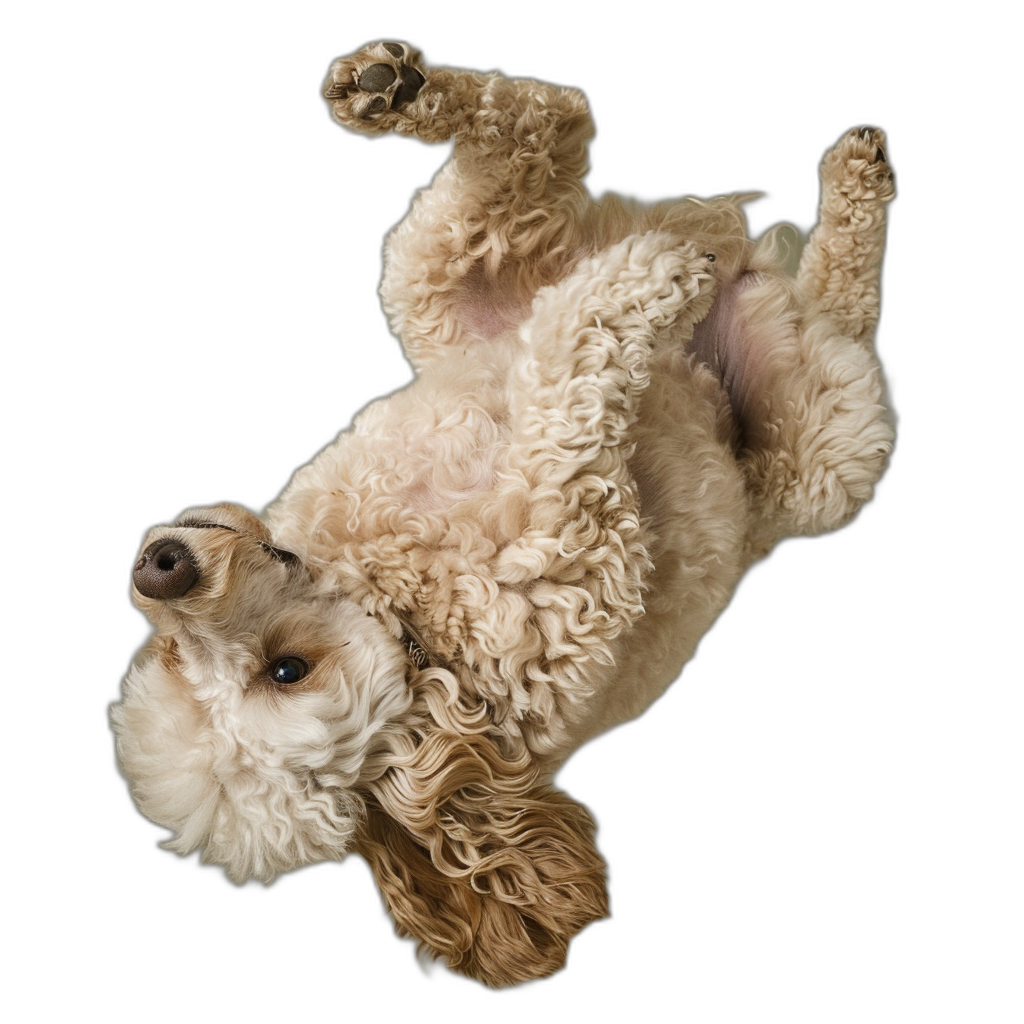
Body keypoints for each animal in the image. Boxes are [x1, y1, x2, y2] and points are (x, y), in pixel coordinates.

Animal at [110, 44, 897, 987]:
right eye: (285, 672)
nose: (161, 567)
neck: (405, 597)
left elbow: (559, 345)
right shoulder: (579, 524)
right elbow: (570, 375)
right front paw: (654, 281)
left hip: (444, 281)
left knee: (535, 133)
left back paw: (392, 89)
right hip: (821, 450)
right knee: (835, 313)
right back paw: (779, 223)